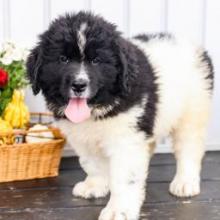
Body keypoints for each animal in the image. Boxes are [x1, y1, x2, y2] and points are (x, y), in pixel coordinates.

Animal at [26, 11, 213, 220]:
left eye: (96, 61)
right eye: (63, 59)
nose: (79, 85)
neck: (98, 108)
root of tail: (195, 46)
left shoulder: (127, 139)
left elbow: (125, 177)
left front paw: (119, 210)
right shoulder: (84, 139)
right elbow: (92, 164)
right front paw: (95, 186)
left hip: (193, 111)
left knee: (189, 148)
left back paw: (185, 182)